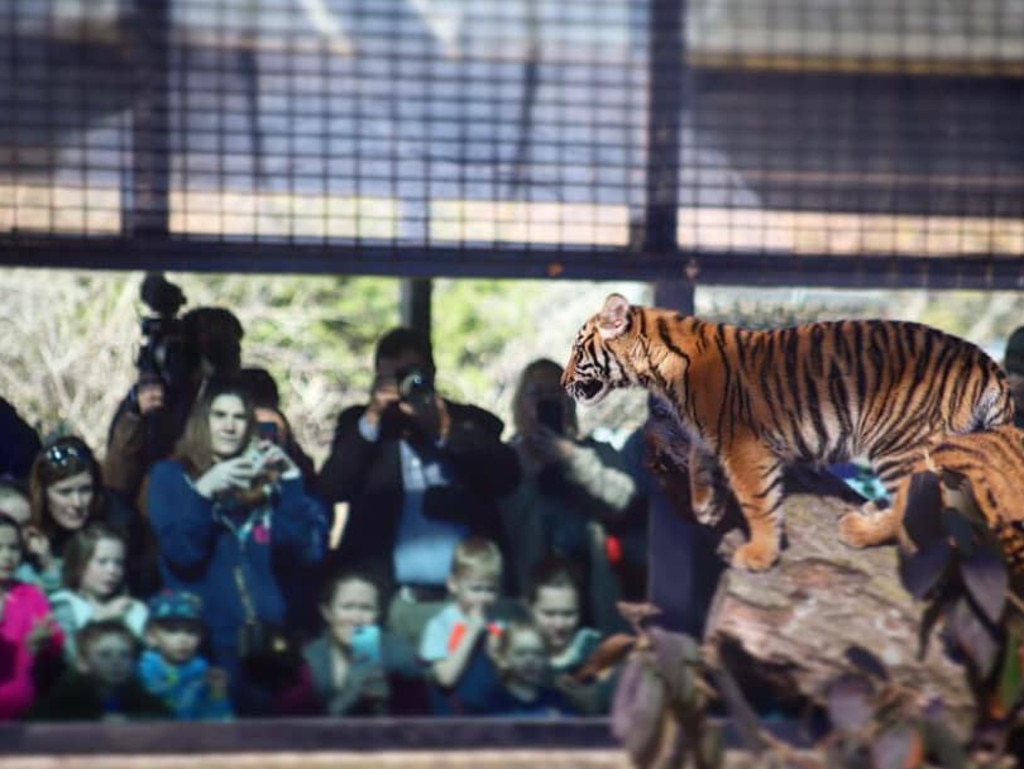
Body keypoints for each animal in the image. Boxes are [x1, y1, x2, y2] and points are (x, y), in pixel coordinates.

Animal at [565, 294, 1011, 573]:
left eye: (577, 351)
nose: (563, 382)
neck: (661, 369)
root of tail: (987, 361)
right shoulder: (713, 433)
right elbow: (697, 456)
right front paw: (706, 505)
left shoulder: (745, 446)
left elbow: (758, 501)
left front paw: (759, 555)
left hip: (899, 440)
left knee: (923, 503)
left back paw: (860, 530)